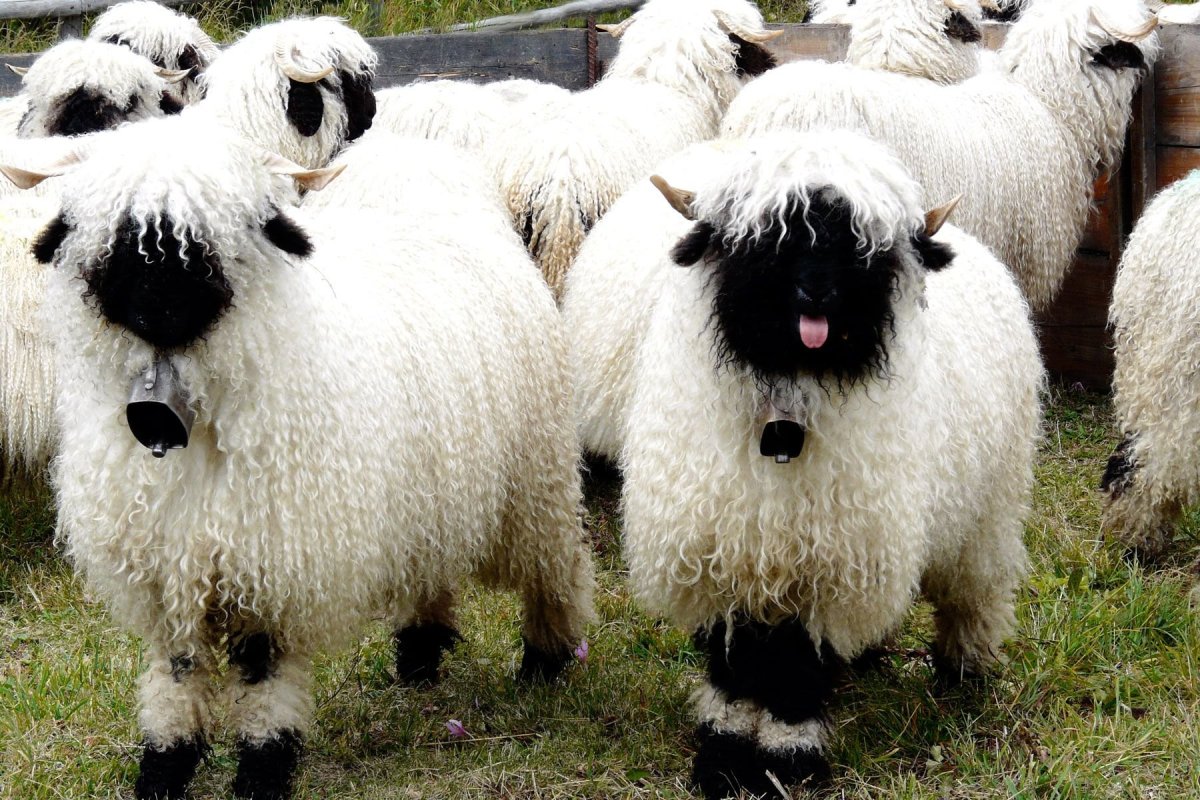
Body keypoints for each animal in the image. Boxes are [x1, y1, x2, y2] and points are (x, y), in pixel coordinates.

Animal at [2, 113, 595, 800]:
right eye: (117, 236)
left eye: (207, 238)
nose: (158, 307)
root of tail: (431, 190)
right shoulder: (167, 567)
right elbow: (177, 676)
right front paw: (164, 768)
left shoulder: (274, 562)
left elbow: (263, 677)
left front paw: (262, 769)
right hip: (428, 492)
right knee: (430, 568)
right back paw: (419, 657)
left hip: (535, 480)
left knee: (555, 567)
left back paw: (547, 662)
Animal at [618, 131, 1042, 798]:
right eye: (766, 237)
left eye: (860, 244)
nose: (816, 292)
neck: (787, 400)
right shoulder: (727, 552)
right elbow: (734, 664)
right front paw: (723, 756)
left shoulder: (825, 563)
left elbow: (796, 666)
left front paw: (786, 760)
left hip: (988, 510)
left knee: (975, 591)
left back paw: (964, 673)